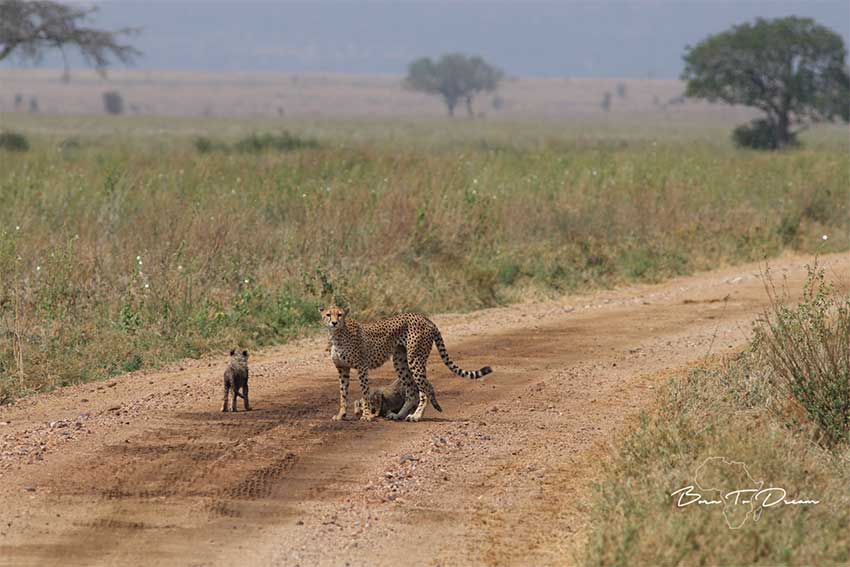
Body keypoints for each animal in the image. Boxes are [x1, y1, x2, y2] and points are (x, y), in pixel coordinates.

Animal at [318, 306, 490, 422]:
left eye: (340, 315)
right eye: (328, 314)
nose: (334, 322)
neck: (337, 335)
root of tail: (424, 317)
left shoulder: (362, 367)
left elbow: (365, 393)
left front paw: (366, 415)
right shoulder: (342, 369)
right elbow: (343, 394)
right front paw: (340, 415)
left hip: (415, 359)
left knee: (425, 389)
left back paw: (416, 416)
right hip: (400, 360)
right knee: (412, 392)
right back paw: (398, 415)